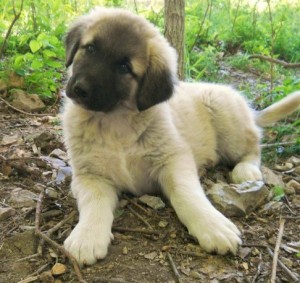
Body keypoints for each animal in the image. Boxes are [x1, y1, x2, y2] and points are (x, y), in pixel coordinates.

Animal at [62, 6, 300, 266]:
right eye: (90, 49)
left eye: (124, 67)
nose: (80, 89)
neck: (116, 121)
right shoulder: (89, 175)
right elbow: (94, 204)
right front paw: (86, 237)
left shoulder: (174, 159)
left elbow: (187, 195)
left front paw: (213, 226)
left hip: (227, 119)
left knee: (254, 146)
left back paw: (246, 169)